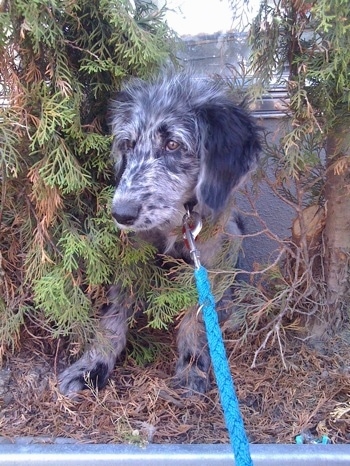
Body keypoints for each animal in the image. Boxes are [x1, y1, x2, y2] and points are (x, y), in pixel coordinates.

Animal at [58, 72, 260, 396]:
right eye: (128, 144)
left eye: (173, 144)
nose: (121, 214)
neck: (176, 224)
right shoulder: (134, 257)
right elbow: (114, 313)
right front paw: (92, 364)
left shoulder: (213, 255)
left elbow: (197, 315)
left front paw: (192, 364)